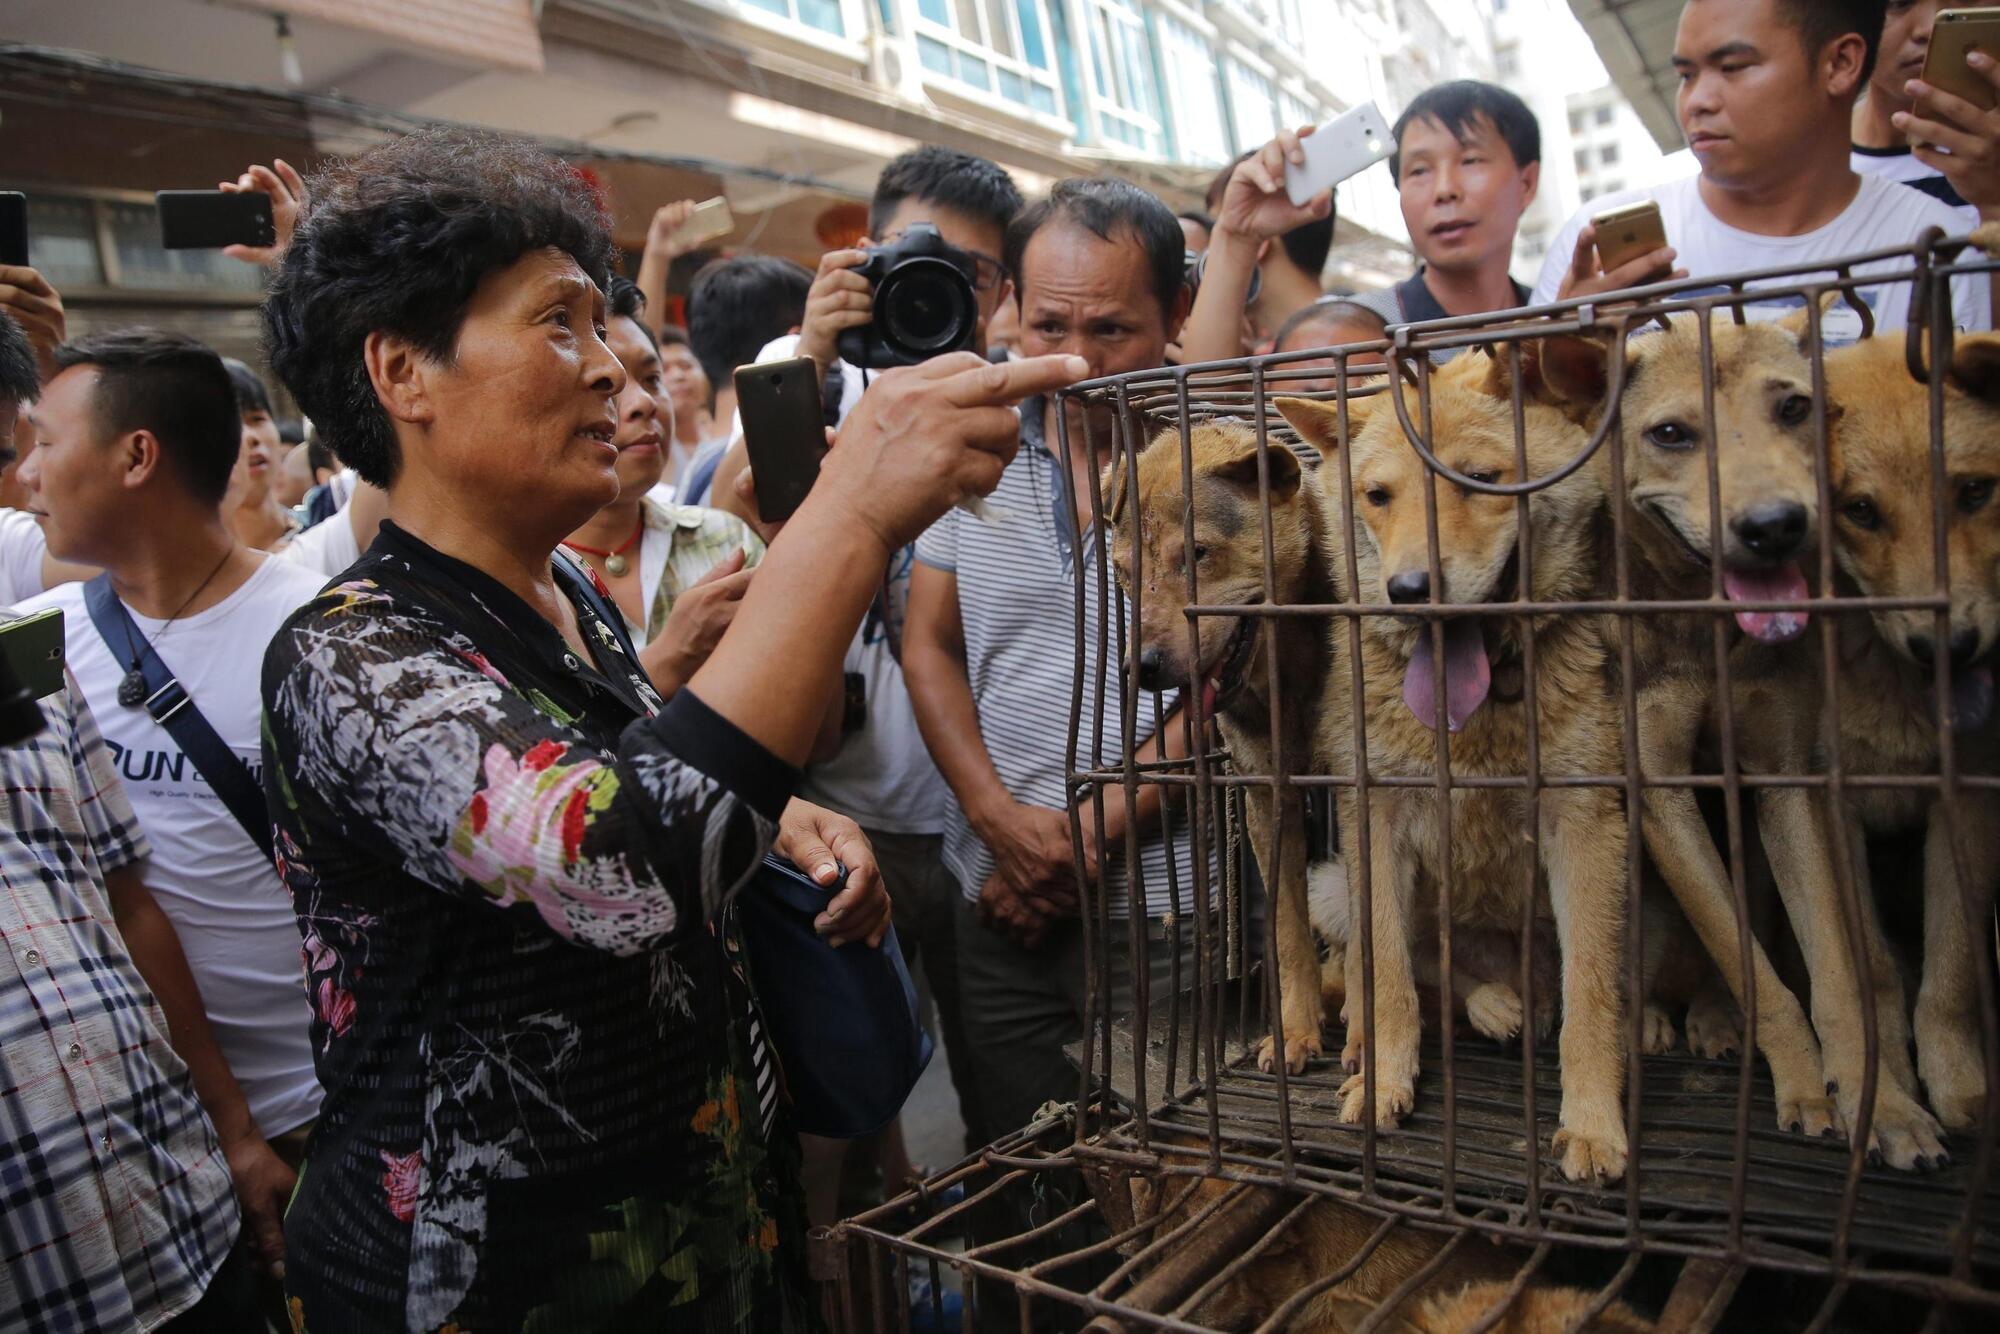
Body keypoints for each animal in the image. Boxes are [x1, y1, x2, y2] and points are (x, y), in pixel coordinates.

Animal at [1272, 348, 1632, 1192]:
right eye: (1378, 497)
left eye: (1482, 481)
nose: (1409, 591)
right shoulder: (1376, 818)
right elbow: (1392, 979)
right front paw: (1385, 1083)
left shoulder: (1587, 825)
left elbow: (1593, 999)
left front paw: (1592, 1123)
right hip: (1334, 885)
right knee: (1412, 976)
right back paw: (1475, 1009)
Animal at [1528, 314, 1952, 1168]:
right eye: (1670, 433)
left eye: (1793, 408)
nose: (1776, 527)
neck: (1706, 627)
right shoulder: (1659, 795)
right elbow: (1745, 955)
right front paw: (1804, 1079)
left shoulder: (1784, 779)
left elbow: (1834, 973)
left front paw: (1880, 1100)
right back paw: (1647, 1017)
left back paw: (1715, 1016)